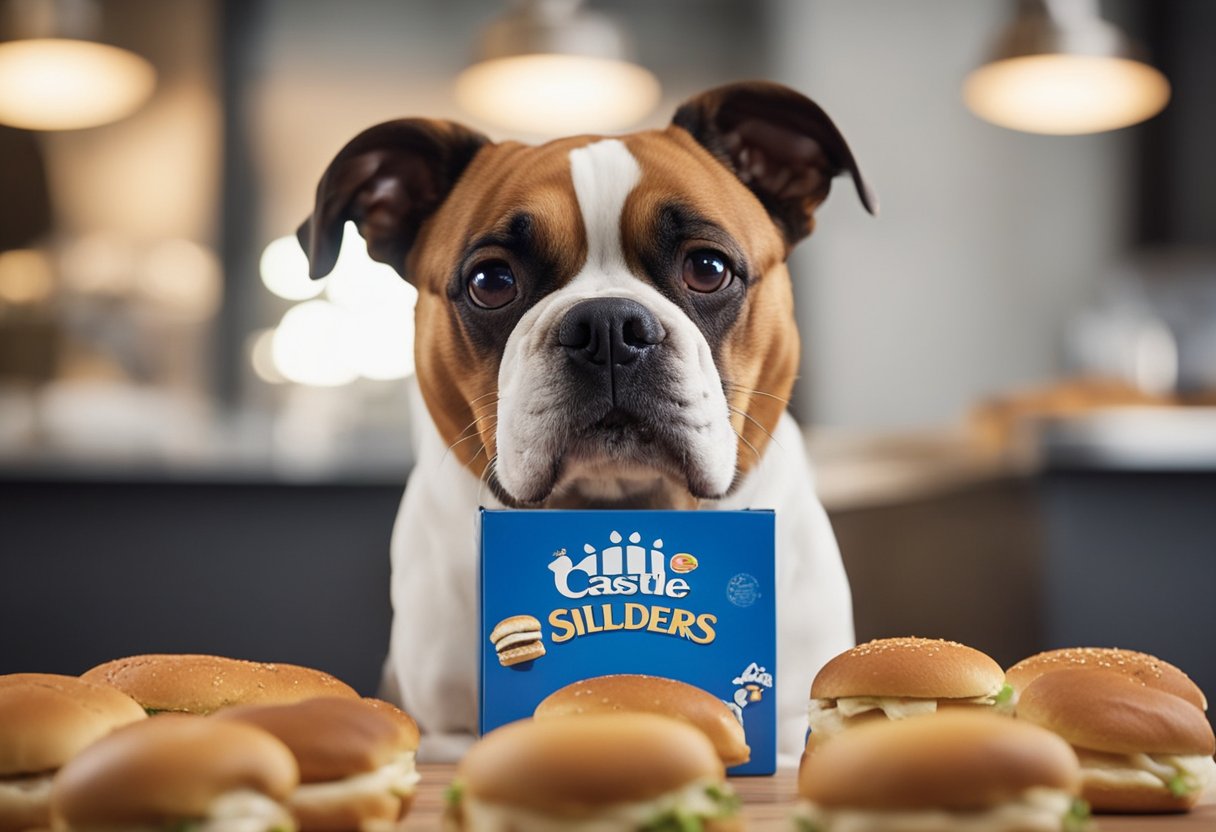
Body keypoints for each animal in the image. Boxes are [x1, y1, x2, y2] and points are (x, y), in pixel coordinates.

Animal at [300, 81, 880, 763]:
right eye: (490, 281)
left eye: (708, 269)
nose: (608, 326)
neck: (615, 503)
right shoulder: (443, 733)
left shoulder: (791, 727)